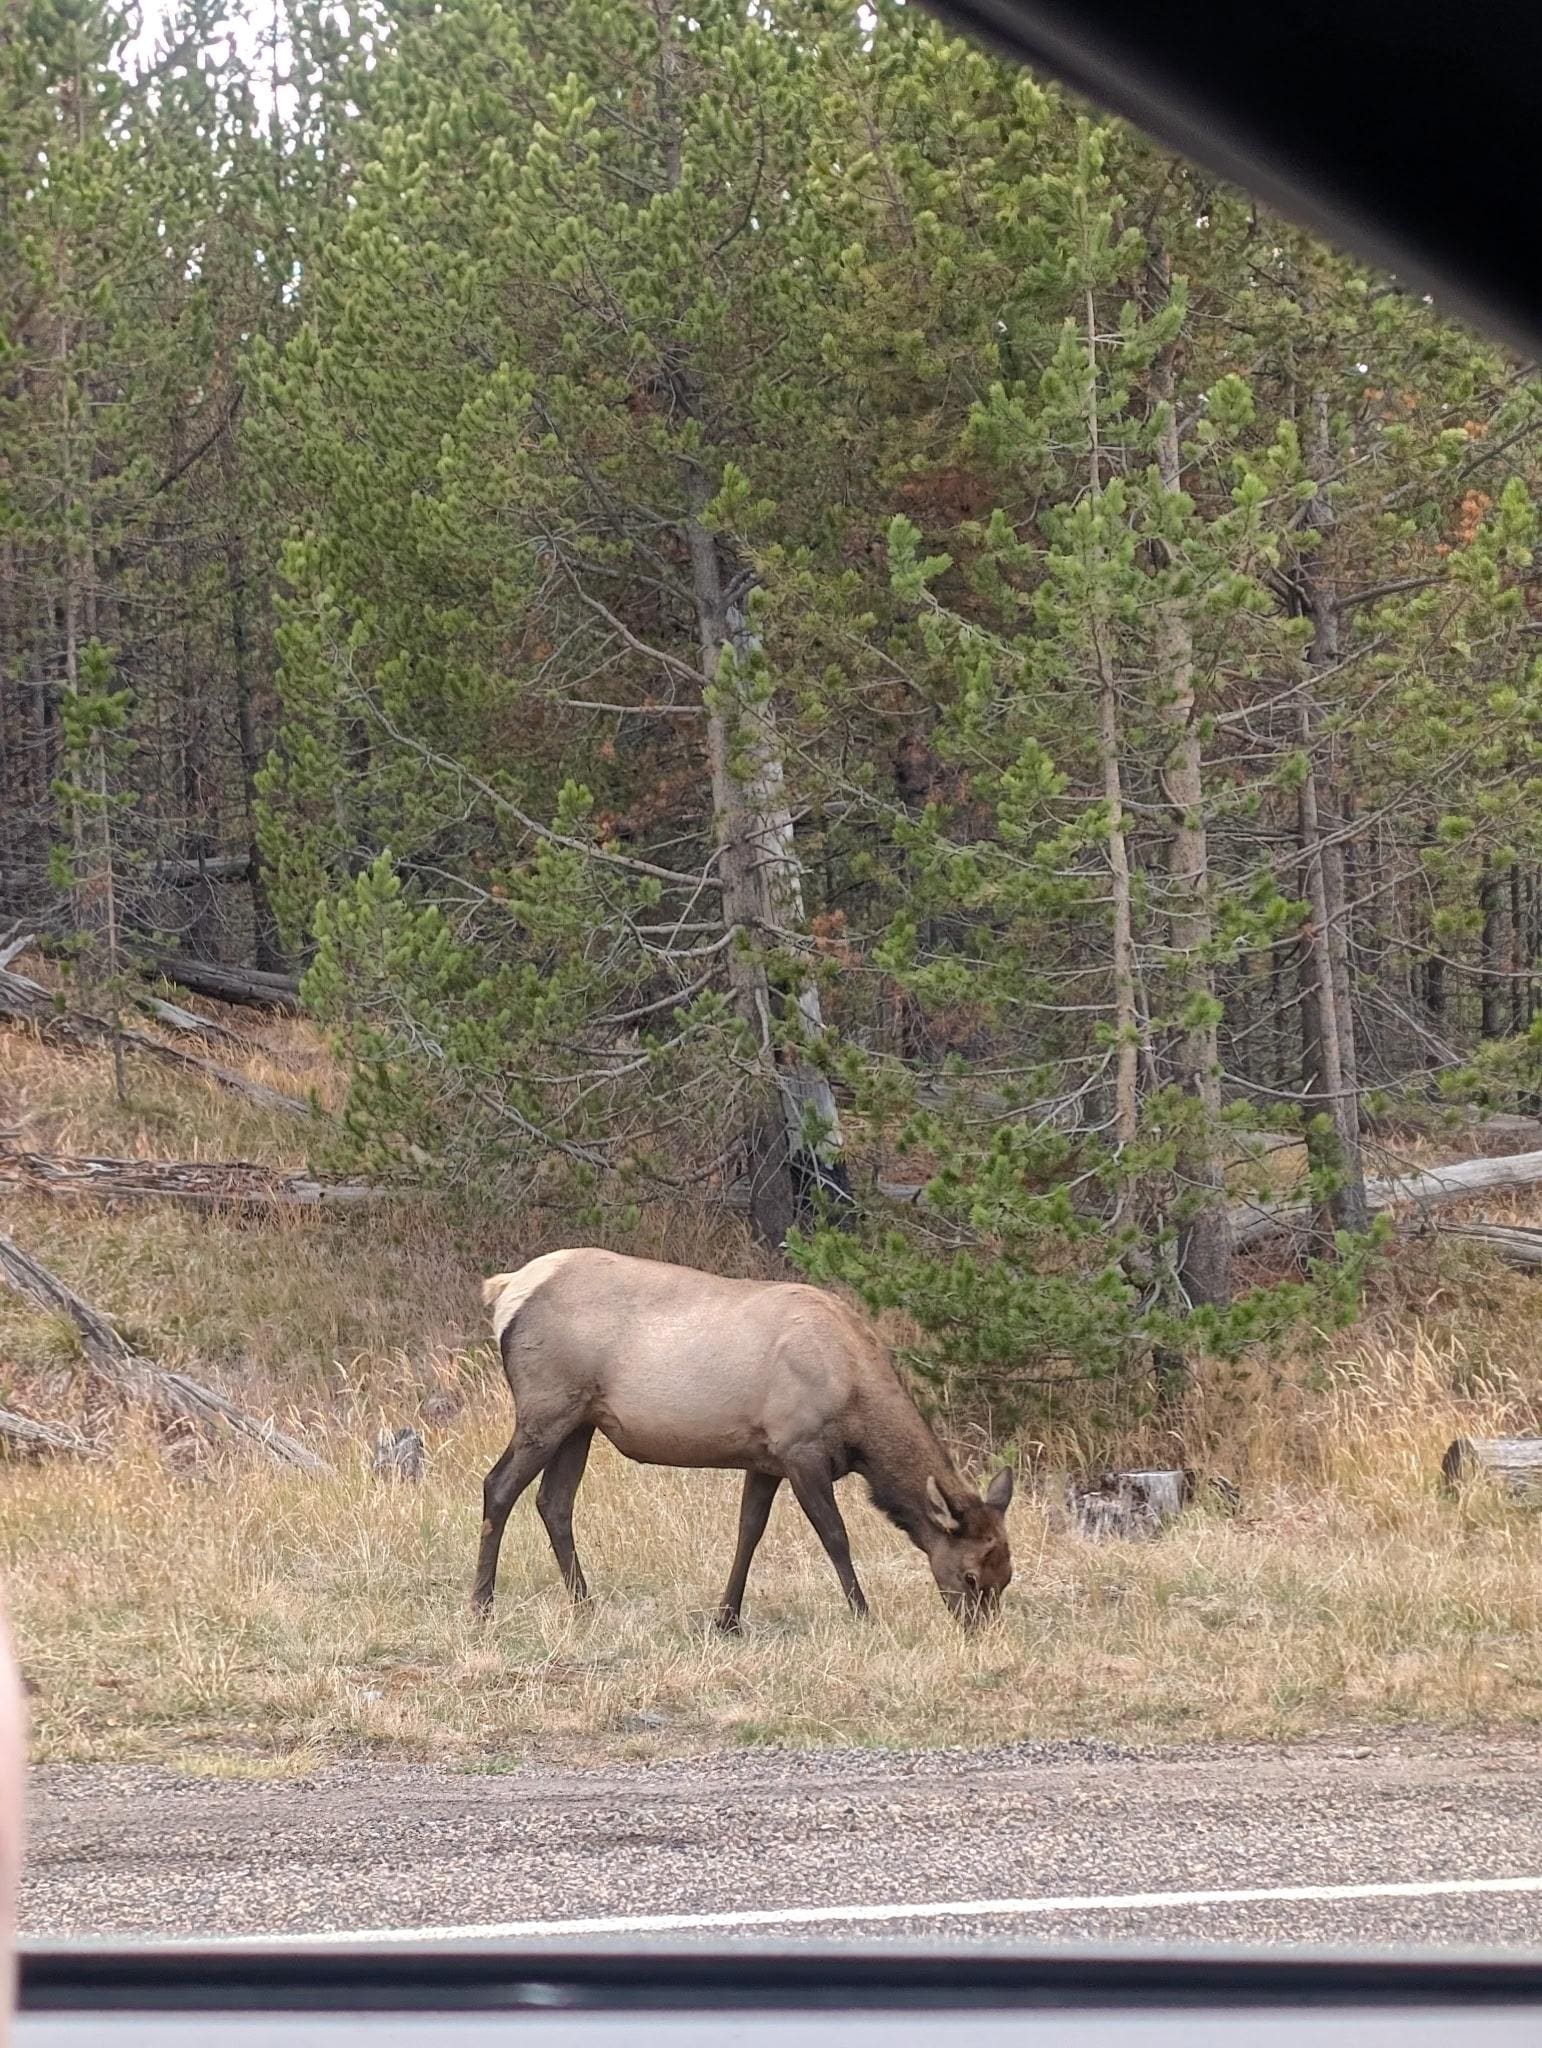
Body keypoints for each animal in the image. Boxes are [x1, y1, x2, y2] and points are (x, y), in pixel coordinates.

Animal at [473, 1248, 1014, 1631]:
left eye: (1006, 1577)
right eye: (970, 1576)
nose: (980, 1632)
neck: (858, 1416)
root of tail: (503, 1290)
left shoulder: (764, 1459)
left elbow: (748, 1532)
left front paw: (727, 1619)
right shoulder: (800, 1449)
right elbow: (835, 1536)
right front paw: (863, 1614)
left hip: (580, 1421)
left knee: (554, 1502)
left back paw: (584, 1605)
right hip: (546, 1407)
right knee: (498, 1486)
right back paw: (482, 1605)